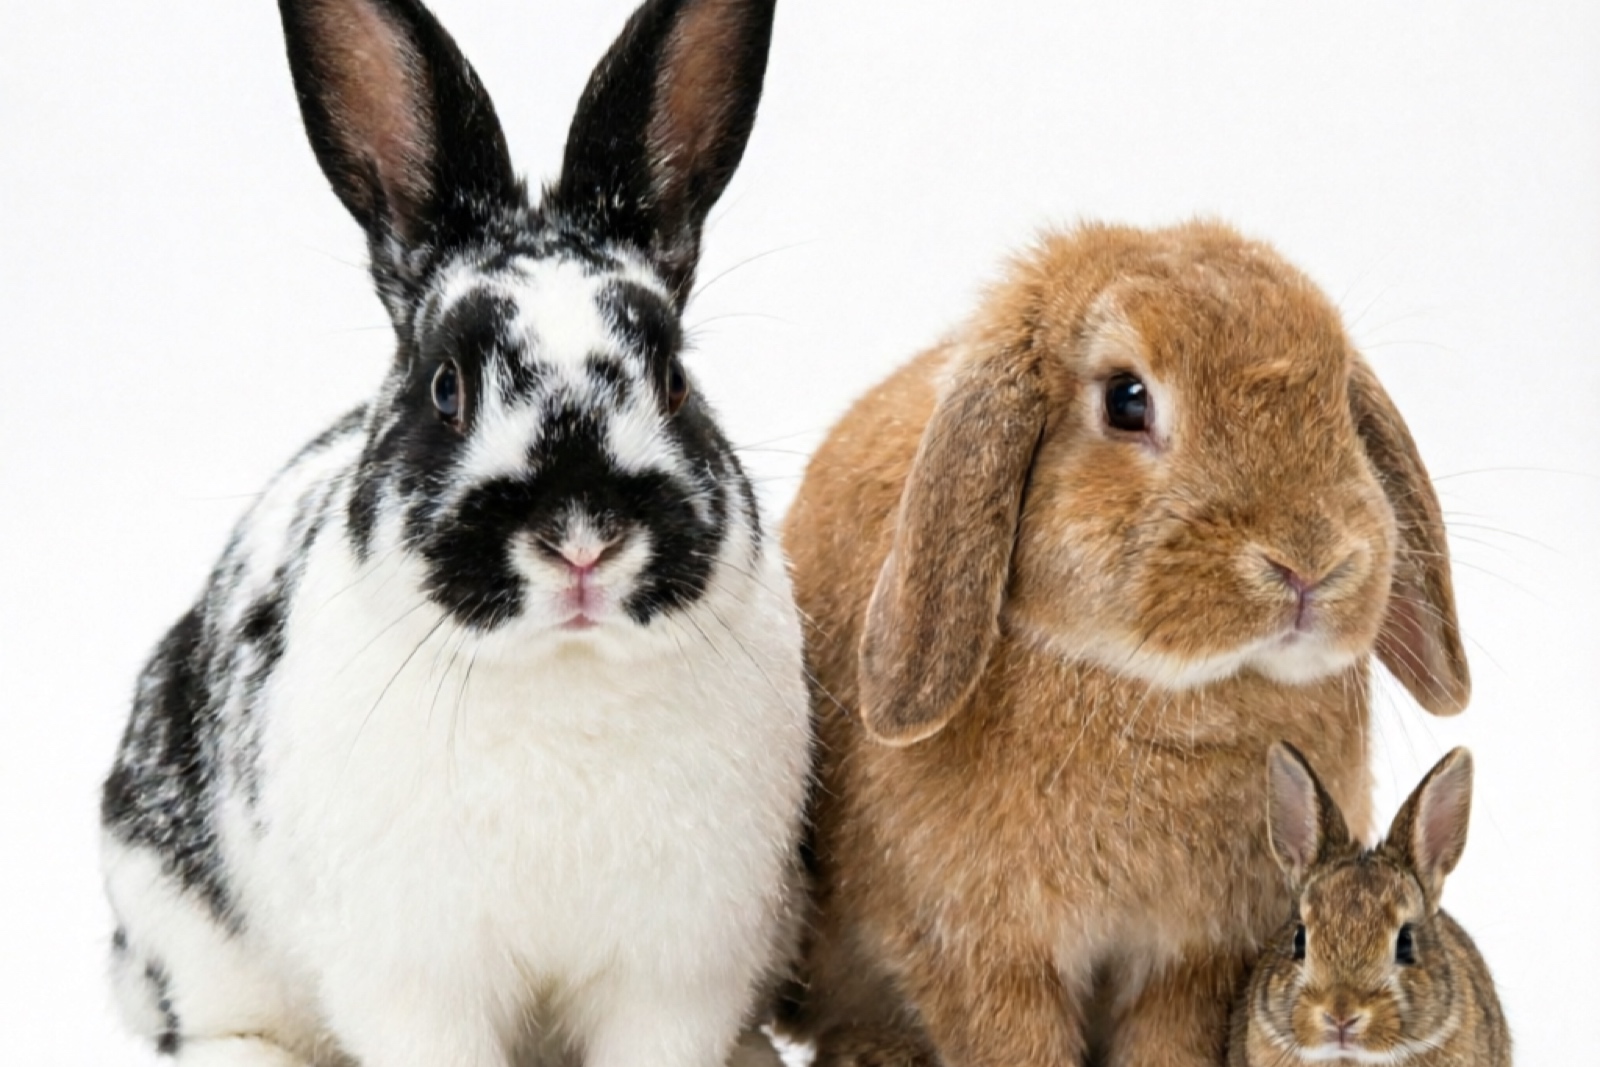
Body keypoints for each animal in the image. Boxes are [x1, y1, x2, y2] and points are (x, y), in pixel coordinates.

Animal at [98, 1, 811, 1065]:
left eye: (676, 380)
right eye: (446, 386)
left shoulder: (674, 978)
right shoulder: (418, 981)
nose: (582, 536)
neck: (563, 676)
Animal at [775, 220, 1470, 1067]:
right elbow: (1015, 1042)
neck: (1164, 690)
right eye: (1127, 399)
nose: (1311, 560)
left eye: (1337, 396)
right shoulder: (988, 954)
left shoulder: (1193, 956)